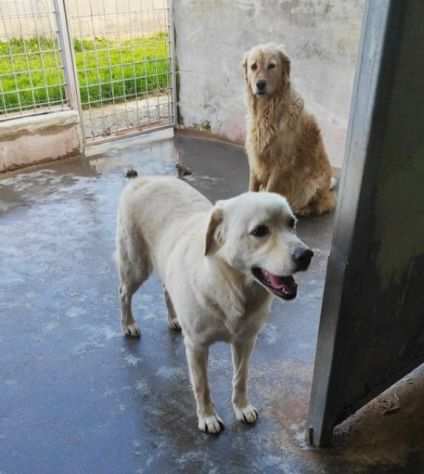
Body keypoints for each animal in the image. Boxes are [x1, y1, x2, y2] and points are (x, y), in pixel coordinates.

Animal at [116, 177, 312, 434]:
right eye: (260, 231)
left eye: (292, 224)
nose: (306, 255)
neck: (230, 287)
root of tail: (142, 179)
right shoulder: (197, 346)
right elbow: (202, 386)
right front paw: (207, 417)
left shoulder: (245, 341)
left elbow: (241, 378)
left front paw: (241, 407)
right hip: (135, 267)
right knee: (124, 294)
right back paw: (128, 324)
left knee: (167, 290)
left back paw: (174, 319)